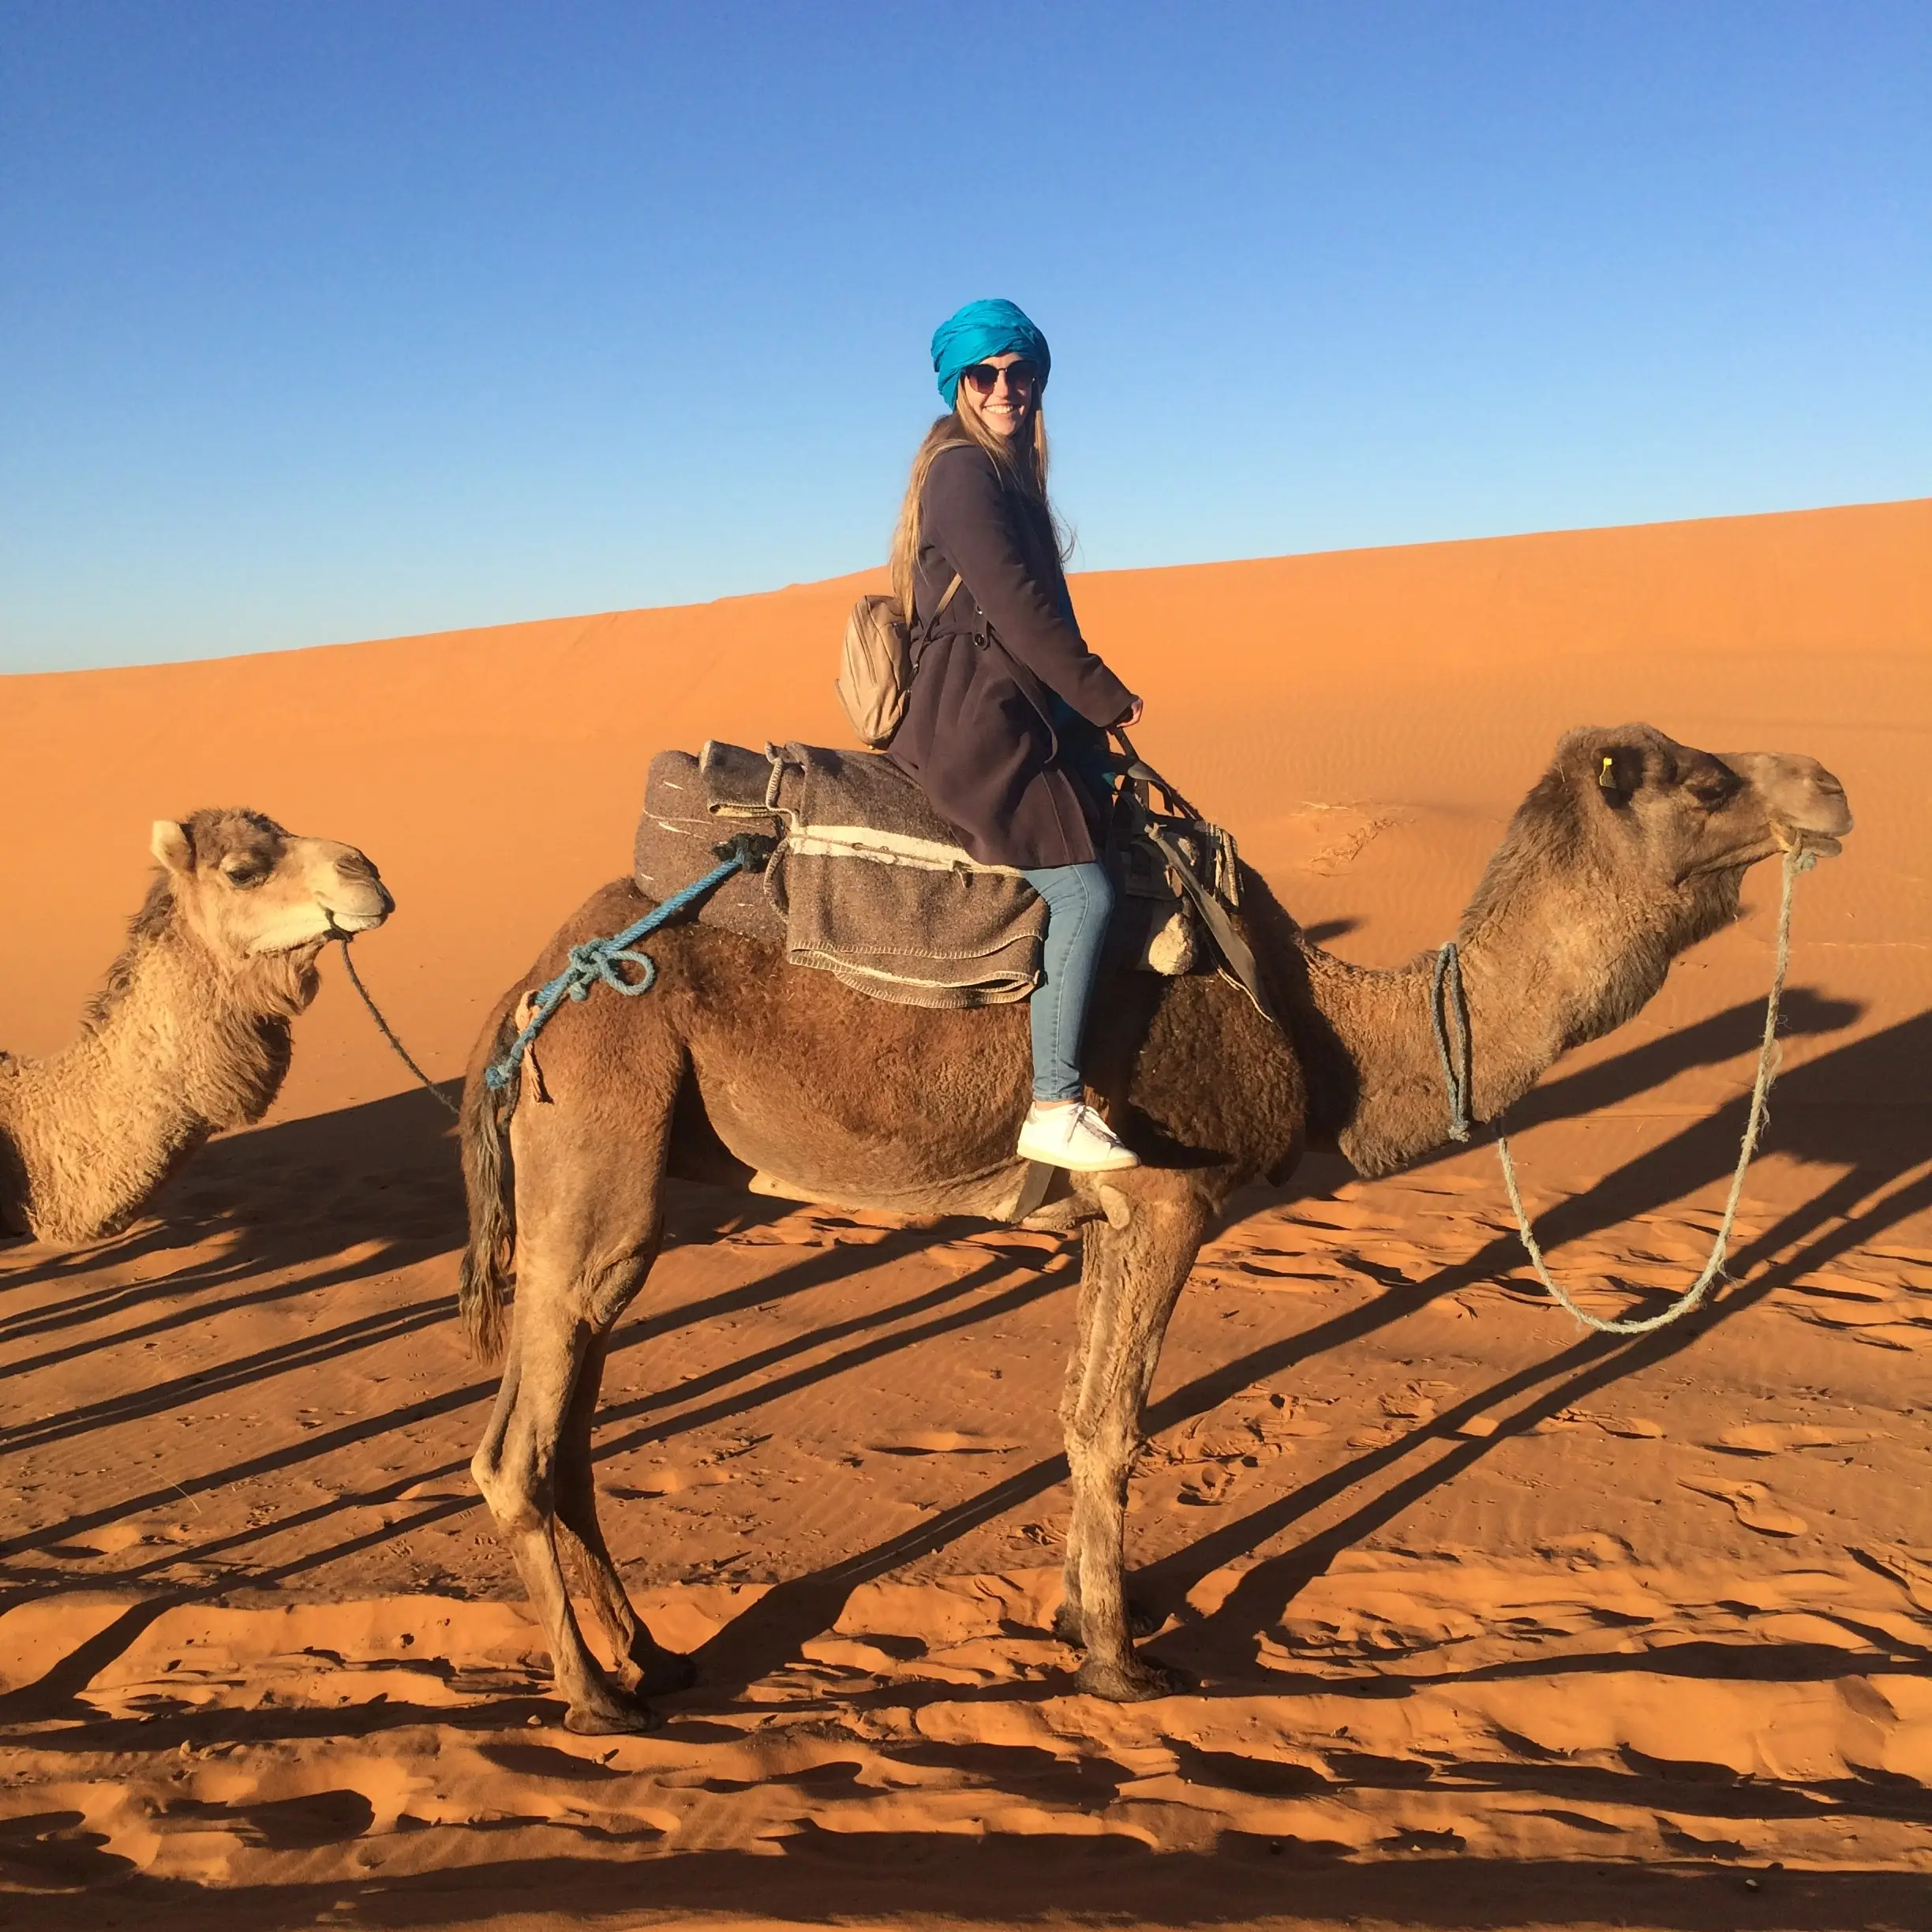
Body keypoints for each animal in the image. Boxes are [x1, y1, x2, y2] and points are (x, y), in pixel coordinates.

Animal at [456, 723, 1851, 1733]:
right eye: (1707, 779)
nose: (1834, 788)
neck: (1332, 1030)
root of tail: (533, 986)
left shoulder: (1101, 1217)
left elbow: (1079, 1409)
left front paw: (1077, 1620)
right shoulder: (1170, 1197)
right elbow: (1113, 1427)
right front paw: (1122, 1665)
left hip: (624, 1175)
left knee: (565, 1421)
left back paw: (654, 1658)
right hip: (604, 1120)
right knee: (519, 1447)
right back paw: (594, 1699)